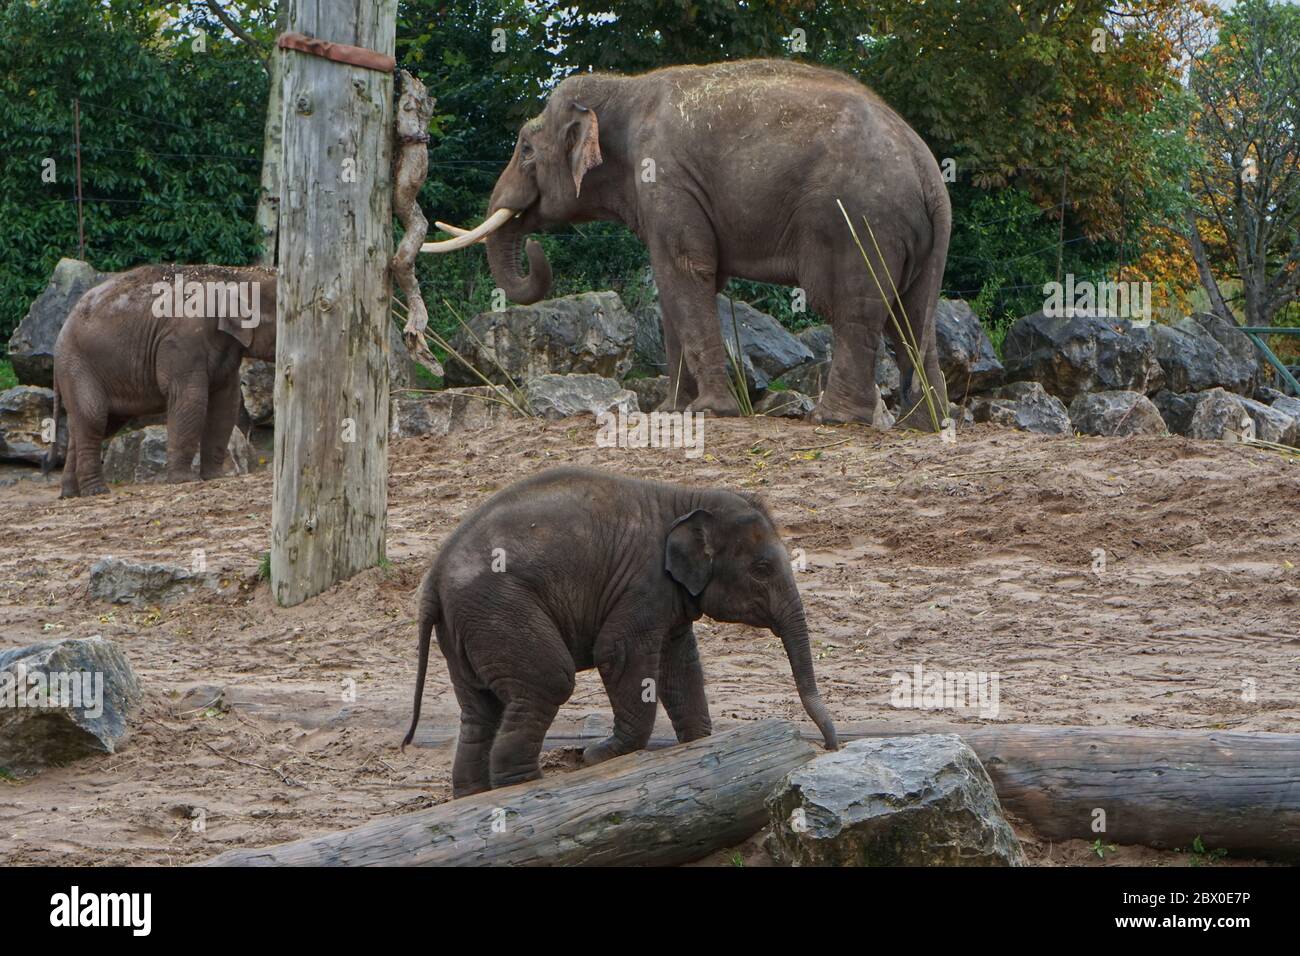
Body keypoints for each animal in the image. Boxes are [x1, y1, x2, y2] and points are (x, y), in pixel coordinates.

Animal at [47, 264, 276, 497]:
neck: (235, 273)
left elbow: (226, 404)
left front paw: (216, 477)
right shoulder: (182, 342)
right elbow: (190, 398)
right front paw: (184, 480)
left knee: (89, 425)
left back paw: (70, 494)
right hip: (76, 365)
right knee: (94, 417)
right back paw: (97, 491)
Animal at [401, 467, 838, 797]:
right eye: (761, 569)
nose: (830, 747)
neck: (685, 497)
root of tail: (432, 578)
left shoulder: (669, 597)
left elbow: (679, 665)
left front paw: (698, 746)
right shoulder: (643, 582)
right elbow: (620, 654)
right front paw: (601, 756)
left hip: (466, 627)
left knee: (479, 710)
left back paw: (474, 796)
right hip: (499, 607)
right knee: (548, 681)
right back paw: (527, 788)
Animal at [426, 58, 951, 428]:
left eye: (526, 150)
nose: (537, 249)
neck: (624, 87)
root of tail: (928, 170)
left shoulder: (665, 177)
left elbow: (685, 270)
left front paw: (710, 411)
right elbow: (676, 285)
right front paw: (672, 411)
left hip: (857, 221)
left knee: (853, 308)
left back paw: (836, 417)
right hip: (916, 237)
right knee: (912, 313)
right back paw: (925, 422)